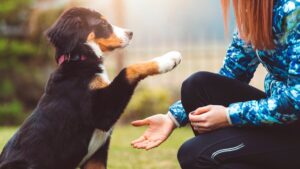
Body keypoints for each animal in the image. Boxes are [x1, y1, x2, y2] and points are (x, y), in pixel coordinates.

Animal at [0, 6, 183, 169]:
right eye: (102, 23)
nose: (130, 33)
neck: (79, 59)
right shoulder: (101, 113)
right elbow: (128, 69)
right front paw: (168, 59)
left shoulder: (96, 155)